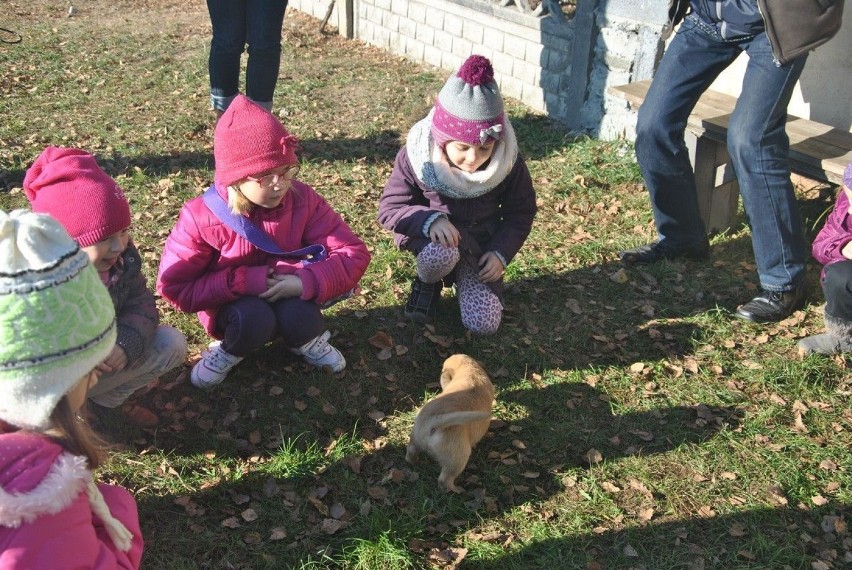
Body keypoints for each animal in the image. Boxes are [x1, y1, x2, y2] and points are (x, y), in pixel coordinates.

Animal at [404, 350, 492, 488]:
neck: (468, 369)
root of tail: (433, 422)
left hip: (415, 439)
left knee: (410, 453)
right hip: (458, 457)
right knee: (444, 480)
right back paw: (457, 489)